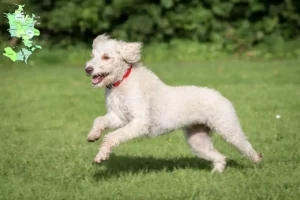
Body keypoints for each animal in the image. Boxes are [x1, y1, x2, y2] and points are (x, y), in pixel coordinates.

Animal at [84, 34, 260, 172]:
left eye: (106, 57)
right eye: (92, 55)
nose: (88, 69)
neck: (122, 81)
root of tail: (221, 95)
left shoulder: (140, 122)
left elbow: (112, 137)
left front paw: (102, 155)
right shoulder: (119, 117)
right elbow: (99, 120)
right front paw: (93, 135)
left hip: (227, 128)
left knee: (245, 145)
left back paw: (257, 160)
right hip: (197, 140)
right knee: (220, 157)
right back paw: (216, 171)